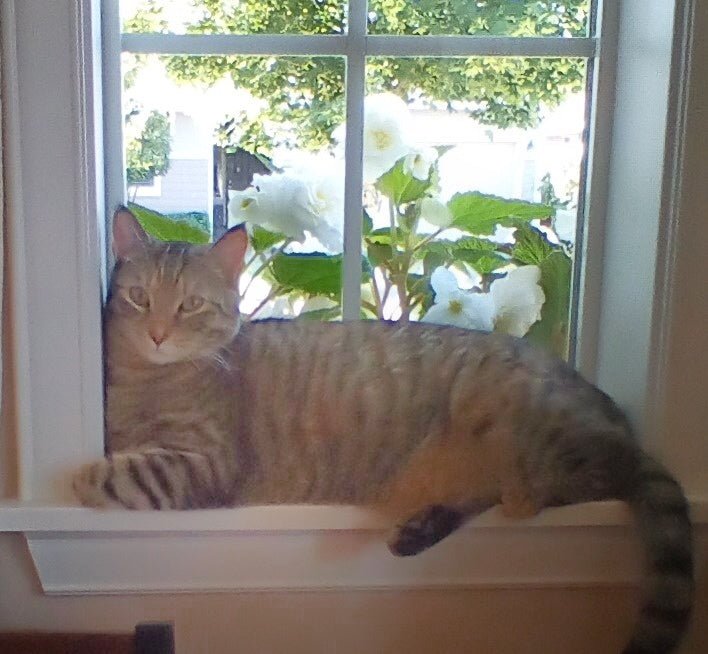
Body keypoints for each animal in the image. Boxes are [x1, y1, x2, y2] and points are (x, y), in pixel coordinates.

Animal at [74, 210, 696, 654]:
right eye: (139, 298)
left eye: (191, 305)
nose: (157, 334)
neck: (148, 379)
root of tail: (616, 420)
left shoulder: (204, 463)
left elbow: (114, 476)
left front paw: (82, 476)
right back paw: (421, 528)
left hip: (530, 443)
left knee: (551, 490)